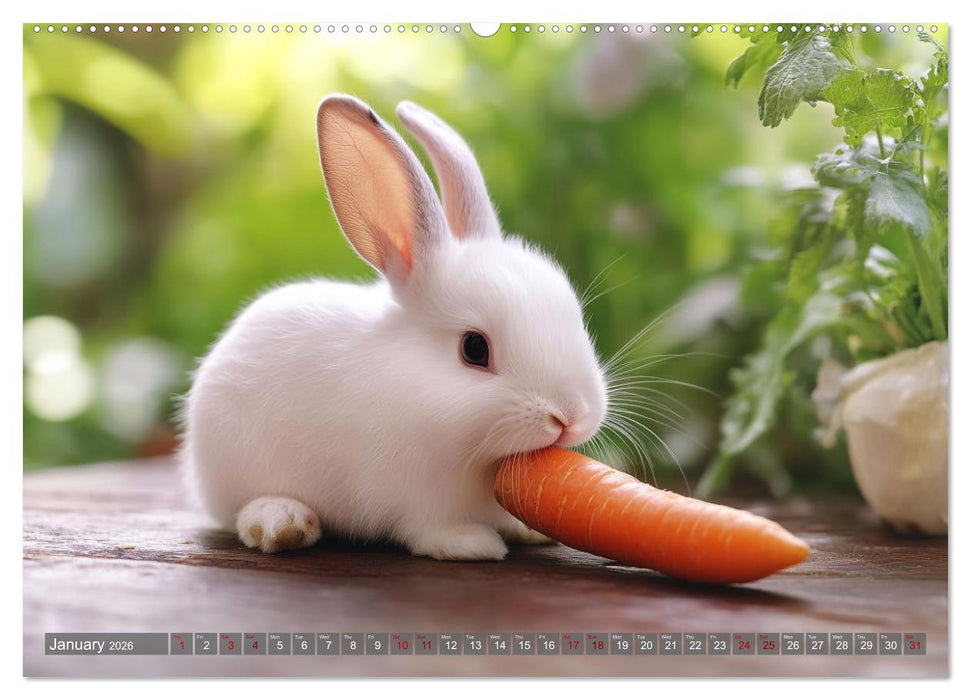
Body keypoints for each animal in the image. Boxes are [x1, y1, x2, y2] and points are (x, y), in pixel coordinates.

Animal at [182, 95, 608, 560]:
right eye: (474, 349)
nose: (570, 416)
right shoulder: (416, 498)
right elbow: (429, 529)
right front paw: (472, 544)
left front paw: (527, 530)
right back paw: (282, 522)